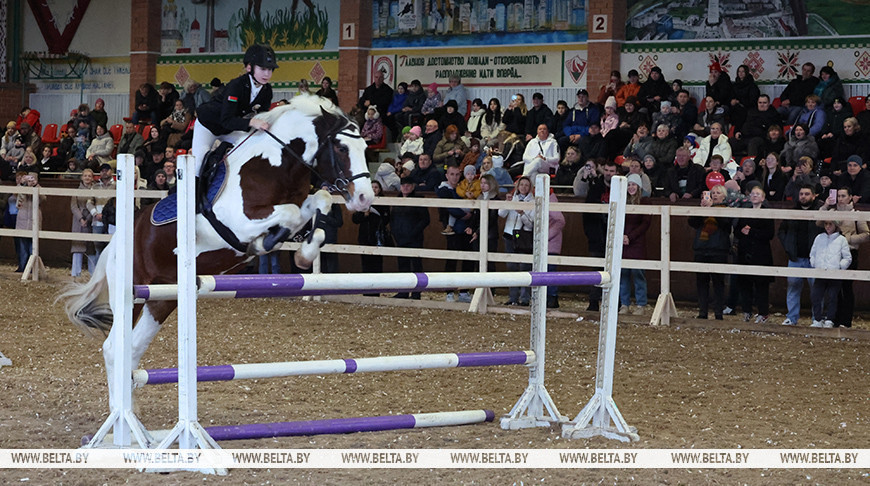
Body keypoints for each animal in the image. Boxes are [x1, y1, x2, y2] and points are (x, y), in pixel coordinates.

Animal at [59, 94, 374, 408]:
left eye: (366, 148)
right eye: (341, 147)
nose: (364, 198)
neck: (275, 166)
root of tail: (114, 245)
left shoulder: (299, 204)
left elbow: (319, 203)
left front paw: (303, 253)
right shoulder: (238, 221)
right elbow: (290, 213)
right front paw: (264, 244)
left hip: (162, 300)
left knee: (132, 349)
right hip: (133, 295)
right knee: (114, 348)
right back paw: (121, 417)